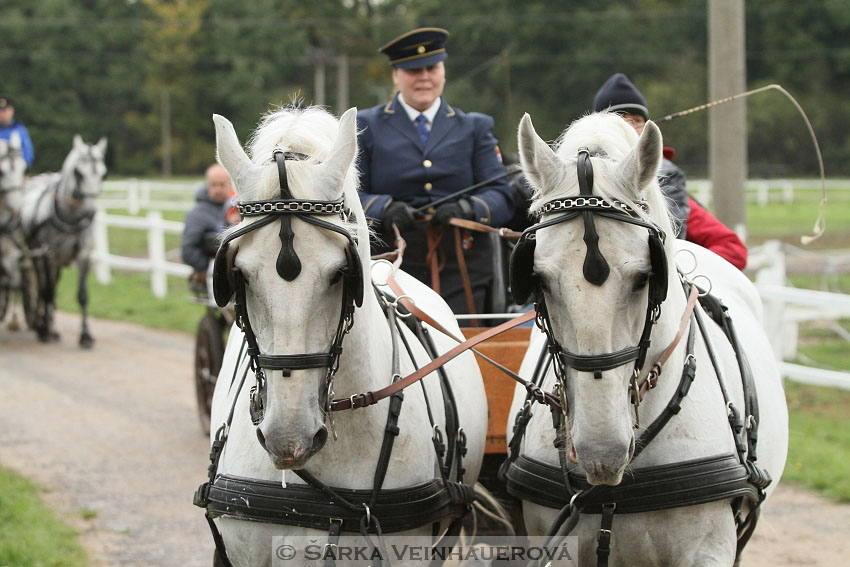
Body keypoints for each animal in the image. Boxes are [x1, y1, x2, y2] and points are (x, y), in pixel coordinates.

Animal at [19, 134, 107, 346]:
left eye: (104, 174)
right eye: (78, 173)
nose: (90, 213)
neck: (70, 217)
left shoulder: (83, 253)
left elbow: (82, 295)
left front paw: (85, 335)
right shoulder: (49, 254)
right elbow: (48, 291)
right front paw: (45, 330)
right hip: (37, 255)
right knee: (43, 286)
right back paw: (40, 325)